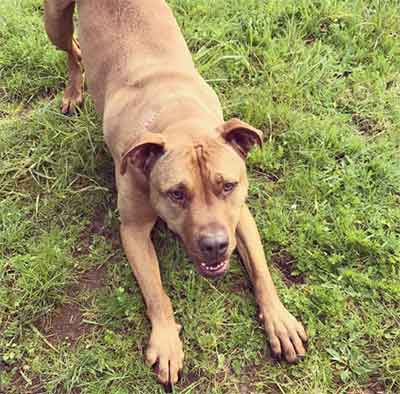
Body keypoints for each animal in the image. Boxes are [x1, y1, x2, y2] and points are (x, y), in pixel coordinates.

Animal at [43, 0, 306, 388]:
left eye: (228, 185)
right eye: (176, 194)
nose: (215, 245)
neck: (179, 117)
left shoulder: (240, 216)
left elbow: (261, 268)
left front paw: (280, 320)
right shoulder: (133, 230)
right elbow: (156, 291)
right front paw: (167, 341)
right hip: (54, 21)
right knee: (71, 49)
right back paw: (75, 90)